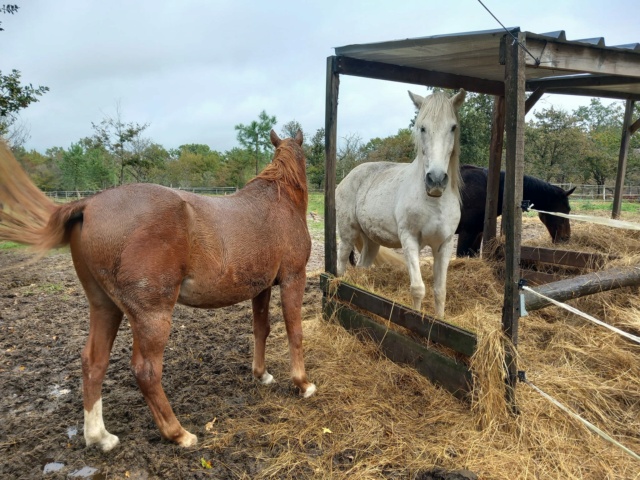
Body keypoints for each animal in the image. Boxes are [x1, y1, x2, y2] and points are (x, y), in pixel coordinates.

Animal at [0, 130, 316, 450]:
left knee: (93, 361)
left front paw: (262, 375)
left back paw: (100, 437)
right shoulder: (293, 278)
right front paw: (303, 384)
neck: (279, 201)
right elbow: (295, 331)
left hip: (105, 307)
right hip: (153, 316)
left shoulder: (261, 288)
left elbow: (261, 329)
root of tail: (87, 206)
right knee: (146, 370)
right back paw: (178, 433)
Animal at [336, 89, 464, 318]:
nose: (436, 180)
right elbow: (418, 289)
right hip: (348, 234)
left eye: (453, 127)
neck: (434, 202)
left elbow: (440, 291)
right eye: (422, 128)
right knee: (341, 264)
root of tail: (348, 176)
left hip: (371, 241)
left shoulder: (445, 244)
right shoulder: (409, 239)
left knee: (362, 267)